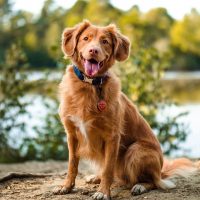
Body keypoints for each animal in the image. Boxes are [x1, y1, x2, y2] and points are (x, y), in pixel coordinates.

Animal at [54, 20, 198, 200]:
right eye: (86, 38)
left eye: (104, 41)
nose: (93, 50)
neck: (90, 86)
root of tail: (161, 170)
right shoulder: (72, 134)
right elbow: (72, 164)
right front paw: (66, 186)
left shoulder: (112, 136)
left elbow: (108, 169)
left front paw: (103, 192)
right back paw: (96, 177)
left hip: (135, 151)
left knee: (153, 182)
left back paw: (140, 186)